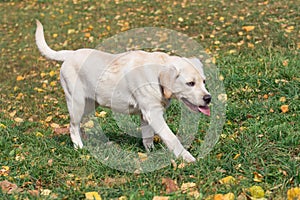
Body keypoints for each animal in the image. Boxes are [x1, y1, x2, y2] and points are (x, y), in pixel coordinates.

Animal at [35, 19, 211, 162]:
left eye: (203, 81)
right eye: (190, 83)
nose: (208, 98)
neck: (156, 74)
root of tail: (70, 54)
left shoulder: (145, 115)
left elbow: (147, 137)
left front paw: (150, 153)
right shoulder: (153, 113)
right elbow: (171, 137)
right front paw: (187, 158)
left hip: (90, 104)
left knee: (77, 125)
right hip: (77, 103)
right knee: (72, 126)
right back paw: (80, 148)